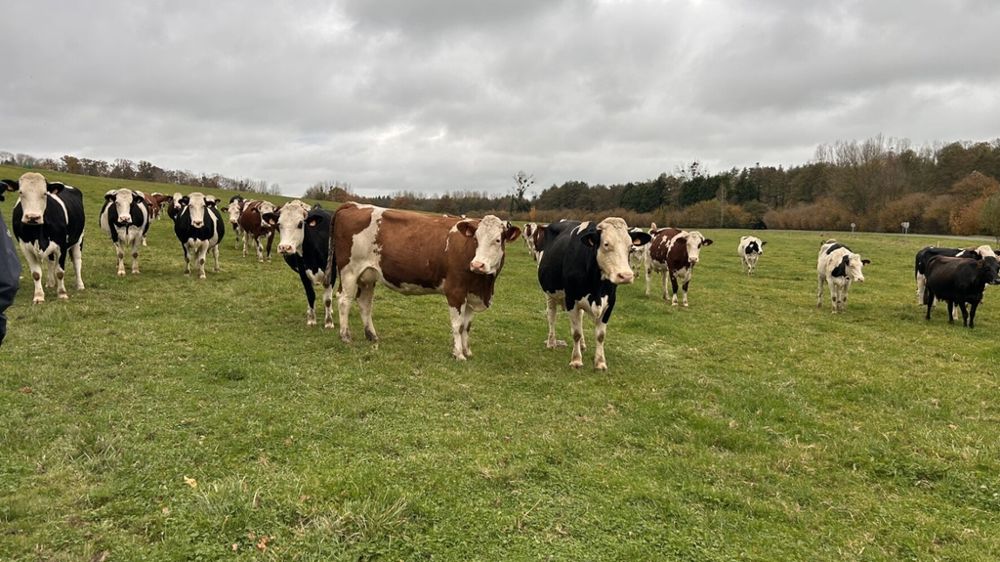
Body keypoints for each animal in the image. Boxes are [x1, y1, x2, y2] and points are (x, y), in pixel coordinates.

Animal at [2, 172, 85, 303]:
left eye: (45, 193)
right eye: (20, 192)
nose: (33, 217)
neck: (38, 232)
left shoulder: (62, 245)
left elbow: (60, 272)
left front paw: (62, 293)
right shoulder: (25, 247)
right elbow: (36, 274)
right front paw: (39, 296)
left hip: (79, 240)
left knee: (77, 261)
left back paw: (80, 285)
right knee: (50, 261)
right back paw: (50, 283)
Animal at [323, 203, 521, 360]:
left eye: (498, 240)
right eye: (475, 239)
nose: (477, 264)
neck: (484, 286)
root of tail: (354, 205)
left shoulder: (472, 294)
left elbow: (466, 326)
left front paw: (467, 351)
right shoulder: (455, 292)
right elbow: (457, 325)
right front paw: (458, 353)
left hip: (367, 275)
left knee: (365, 303)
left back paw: (372, 335)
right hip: (349, 271)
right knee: (344, 300)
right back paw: (345, 336)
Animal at [536, 218, 651, 370]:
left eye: (631, 247)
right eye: (606, 244)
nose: (626, 276)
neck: (597, 289)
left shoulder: (610, 303)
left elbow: (600, 335)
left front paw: (600, 362)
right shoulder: (571, 300)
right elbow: (576, 333)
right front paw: (576, 360)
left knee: (580, 318)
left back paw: (583, 345)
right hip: (549, 294)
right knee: (551, 315)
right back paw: (551, 342)